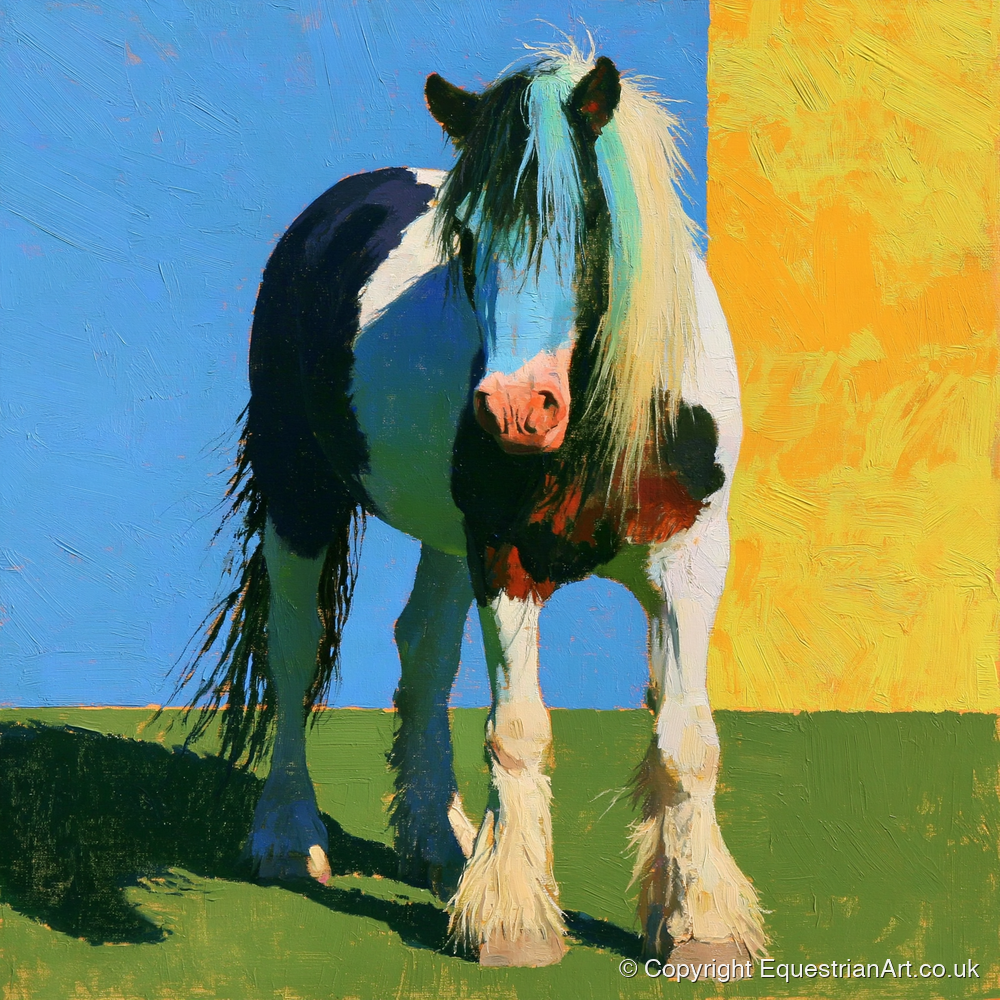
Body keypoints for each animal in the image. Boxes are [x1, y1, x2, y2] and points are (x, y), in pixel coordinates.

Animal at [185, 44, 766, 969]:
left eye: (589, 223)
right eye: (464, 237)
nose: (516, 410)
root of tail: (332, 209)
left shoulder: (690, 558)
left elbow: (686, 740)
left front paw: (701, 927)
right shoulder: (508, 558)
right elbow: (519, 730)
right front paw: (514, 924)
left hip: (445, 537)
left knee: (422, 648)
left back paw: (437, 842)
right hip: (301, 494)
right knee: (296, 644)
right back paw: (288, 837)